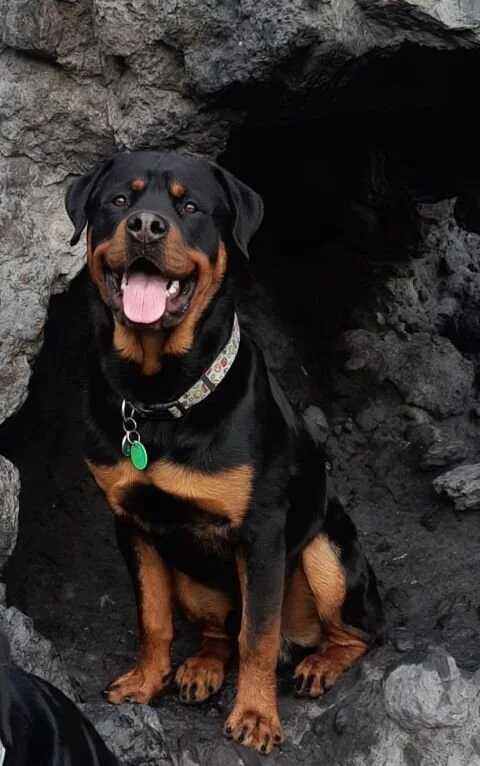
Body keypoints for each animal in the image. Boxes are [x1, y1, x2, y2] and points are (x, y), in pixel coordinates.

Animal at [65, 150, 384, 754]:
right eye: (119, 200)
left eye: (190, 207)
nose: (145, 225)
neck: (159, 396)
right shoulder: (131, 522)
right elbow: (154, 618)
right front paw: (145, 681)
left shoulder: (261, 531)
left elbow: (257, 637)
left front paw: (256, 717)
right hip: (196, 580)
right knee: (218, 632)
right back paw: (201, 669)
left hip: (325, 551)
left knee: (354, 633)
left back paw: (319, 665)